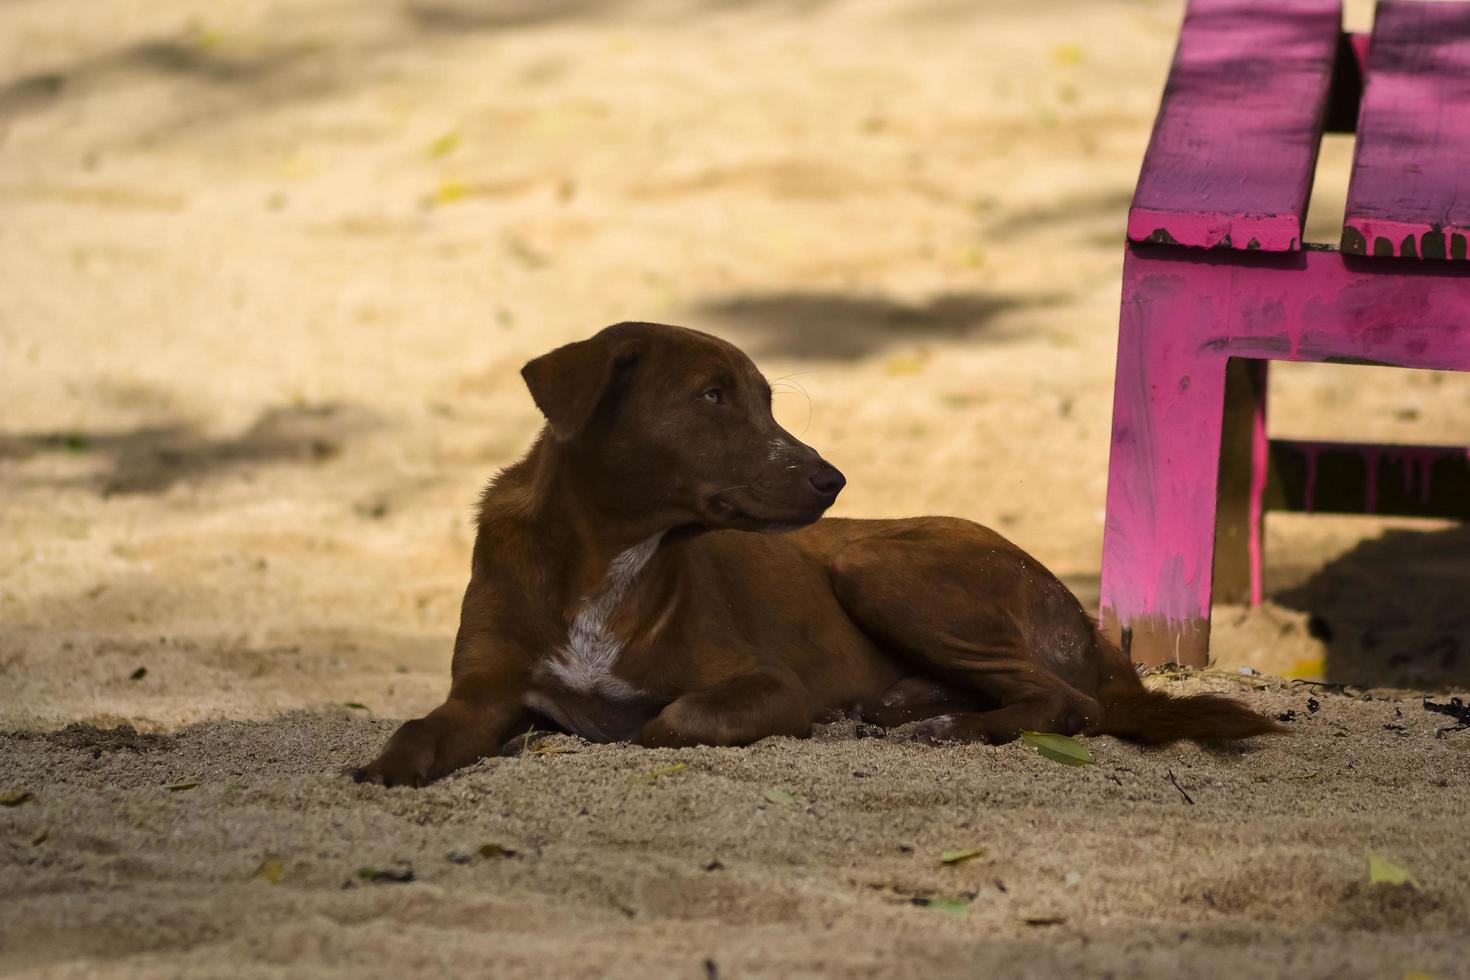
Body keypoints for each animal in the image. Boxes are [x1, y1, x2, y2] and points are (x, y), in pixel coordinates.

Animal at [349, 323, 1281, 787]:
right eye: (712, 397)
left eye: (764, 399)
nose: (833, 477)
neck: (605, 560)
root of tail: (1087, 620)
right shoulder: (482, 693)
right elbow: (418, 732)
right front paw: (384, 768)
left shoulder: (764, 684)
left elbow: (668, 721)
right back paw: (907, 707)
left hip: (879, 566)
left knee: (1066, 703)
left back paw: (947, 725)